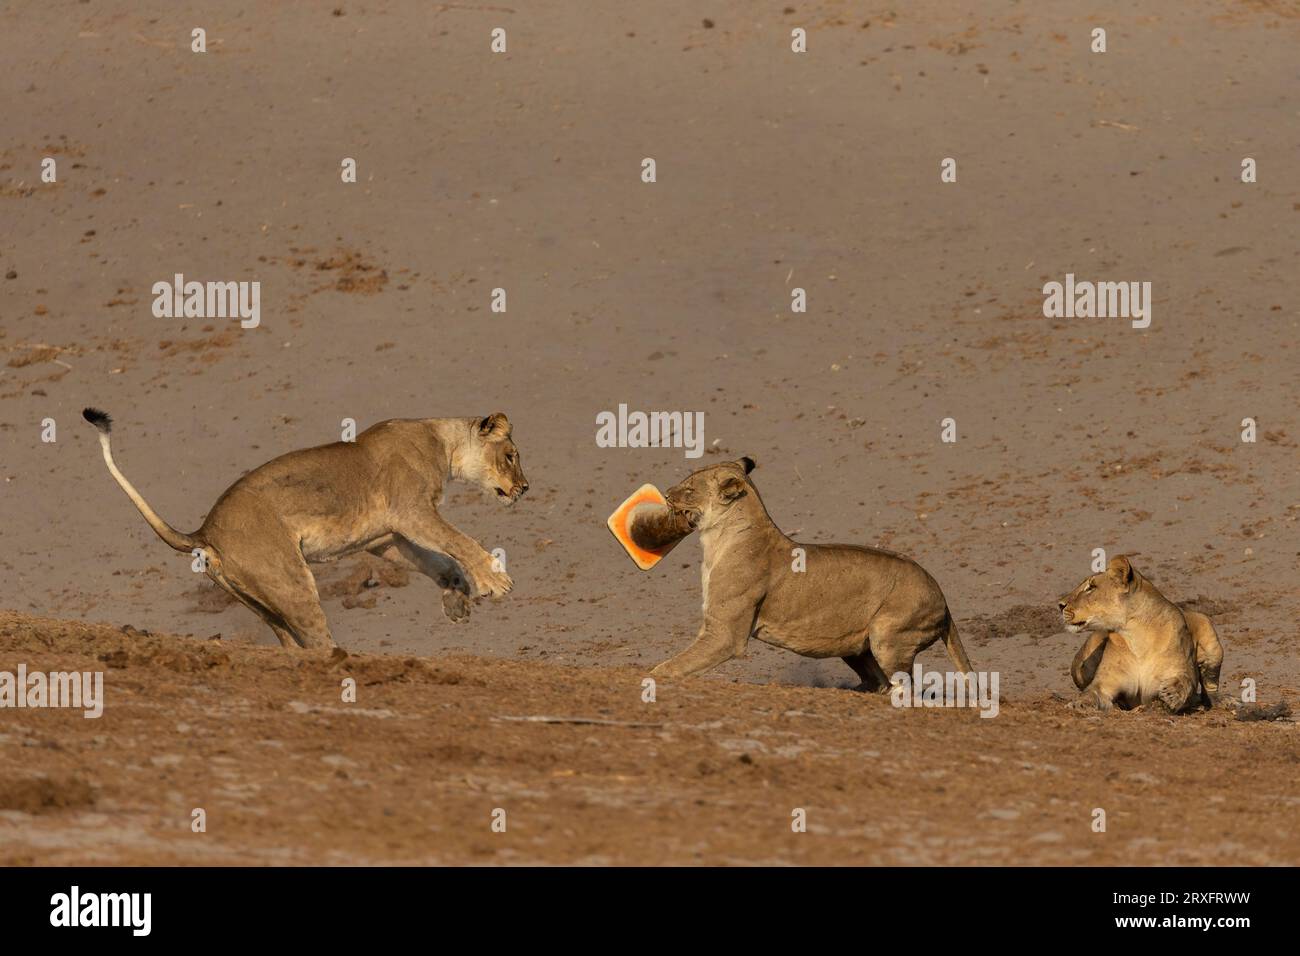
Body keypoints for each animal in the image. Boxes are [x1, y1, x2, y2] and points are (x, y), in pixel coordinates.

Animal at [82, 408, 527, 649]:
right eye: (510, 455)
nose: (525, 488)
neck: (442, 441)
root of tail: (205, 532)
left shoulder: (386, 538)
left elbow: (437, 561)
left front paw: (457, 597)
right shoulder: (412, 512)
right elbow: (459, 541)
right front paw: (495, 581)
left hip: (261, 603)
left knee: (293, 646)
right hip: (290, 582)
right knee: (317, 641)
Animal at [647, 458, 974, 688]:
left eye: (689, 488)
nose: (666, 494)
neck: (717, 539)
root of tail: (942, 596)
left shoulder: (725, 634)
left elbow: (677, 664)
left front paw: (654, 676)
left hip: (889, 634)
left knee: (905, 687)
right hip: (856, 646)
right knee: (879, 682)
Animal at [1059, 555, 1223, 713]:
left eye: (1091, 587)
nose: (1060, 605)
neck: (1137, 637)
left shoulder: (1182, 670)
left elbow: (1186, 682)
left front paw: (1172, 694)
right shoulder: (1104, 684)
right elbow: (1089, 693)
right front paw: (1078, 704)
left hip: (1209, 634)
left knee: (1210, 687)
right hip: (1079, 665)